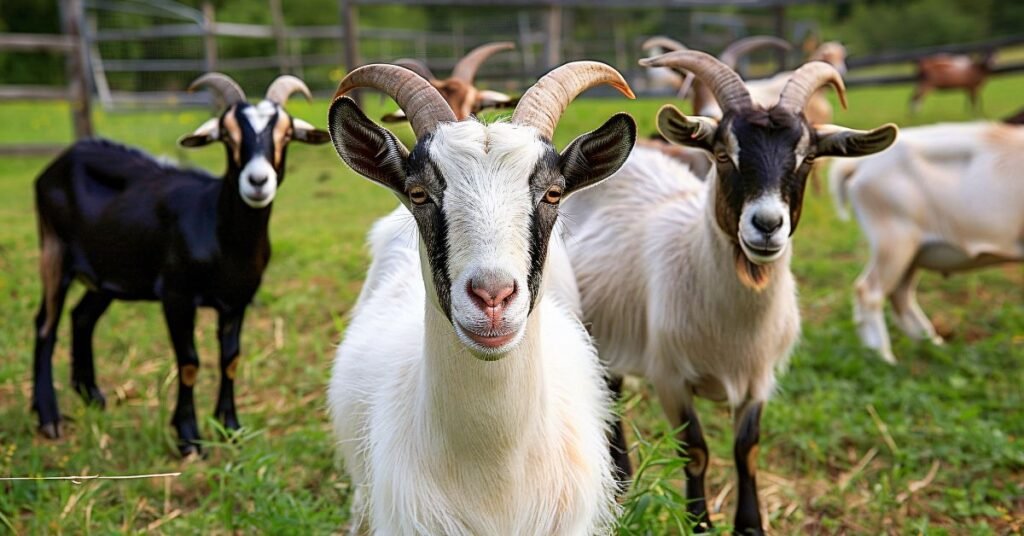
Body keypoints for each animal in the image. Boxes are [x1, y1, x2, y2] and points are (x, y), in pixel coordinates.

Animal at [31, 74, 329, 455]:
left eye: (287, 133)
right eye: (227, 134)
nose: (258, 181)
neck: (222, 237)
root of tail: (58, 163)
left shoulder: (237, 301)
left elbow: (230, 360)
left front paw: (230, 427)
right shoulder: (177, 296)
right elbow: (189, 363)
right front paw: (188, 436)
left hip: (112, 270)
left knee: (81, 317)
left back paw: (92, 396)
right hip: (53, 249)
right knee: (45, 326)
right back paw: (49, 417)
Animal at [563, 51, 897, 534]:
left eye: (808, 158)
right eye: (723, 154)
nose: (767, 225)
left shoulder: (759, 379)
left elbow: (747, 450)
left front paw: (750, 525)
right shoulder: (670, 376)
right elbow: (696, 452)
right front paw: (699, 522)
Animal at [828, 121, 1022, 363]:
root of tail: (859, 164)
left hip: (913, 251)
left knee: (900, 294)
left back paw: (933, 345)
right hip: (894, 241)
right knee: (869, 291)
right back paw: (884, 356)